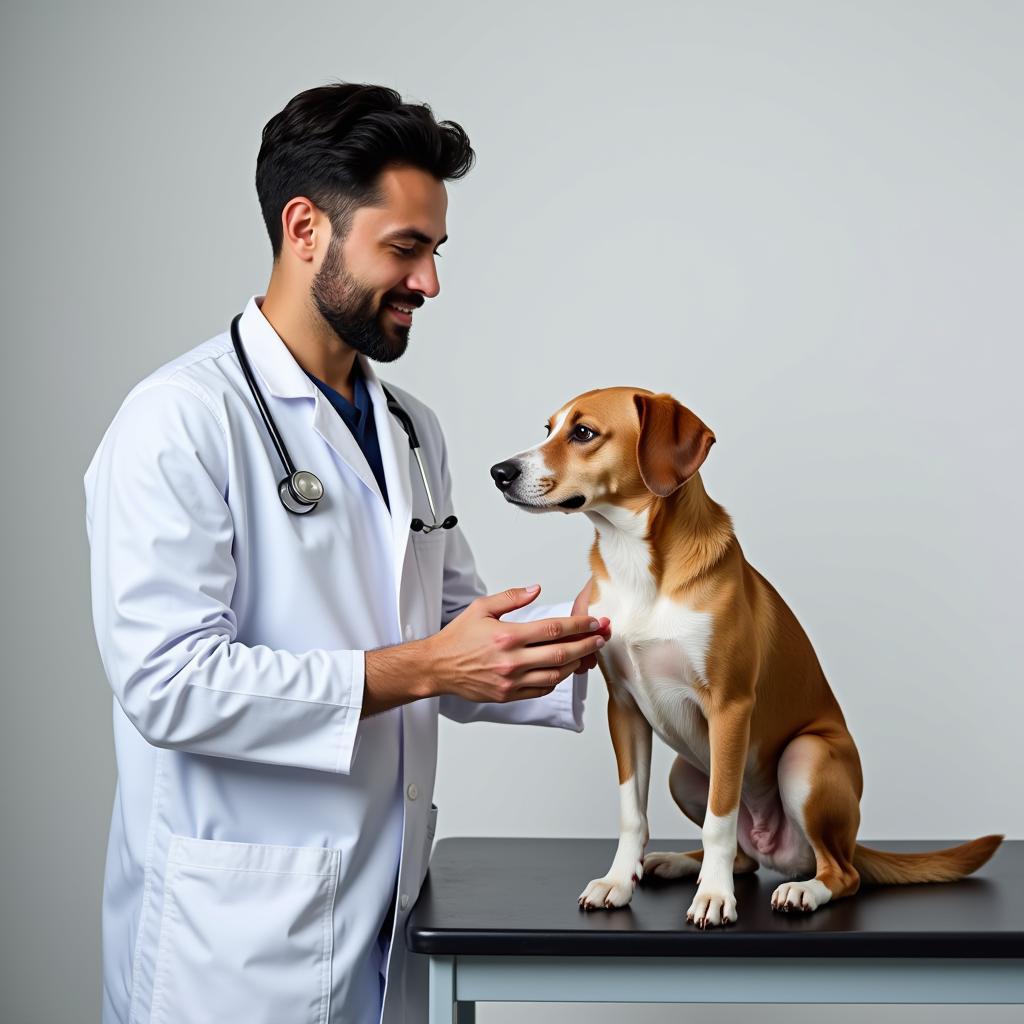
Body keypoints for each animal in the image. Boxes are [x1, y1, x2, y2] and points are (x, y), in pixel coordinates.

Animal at [491, 385, 1003, 929]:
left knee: (839, 873)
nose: (499, 471)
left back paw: (801, 890)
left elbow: (720, 819)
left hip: (806, 757)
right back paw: (675, 863)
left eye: (584, 432)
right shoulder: (624, 710)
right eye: (549, 429)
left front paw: (714, 898)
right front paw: (617, 882)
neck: (635, 562)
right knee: (746, 857)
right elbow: (633, 813)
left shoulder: (730, 708)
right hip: (682, 775)